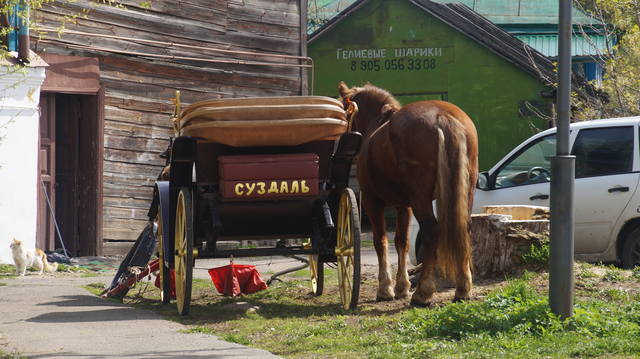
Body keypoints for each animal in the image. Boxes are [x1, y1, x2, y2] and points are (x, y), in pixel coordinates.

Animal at [338, 82, 478, 306]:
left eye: (344, 112)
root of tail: (442, 115)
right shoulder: (404, 205)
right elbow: (401, 242)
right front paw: (401, 286)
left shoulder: (372, 201)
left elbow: (381, 241)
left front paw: (385, 288)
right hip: (466, 191)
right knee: (464, 226)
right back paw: (463, 289)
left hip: (420, 198)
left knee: (432, 231)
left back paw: (423, 293)